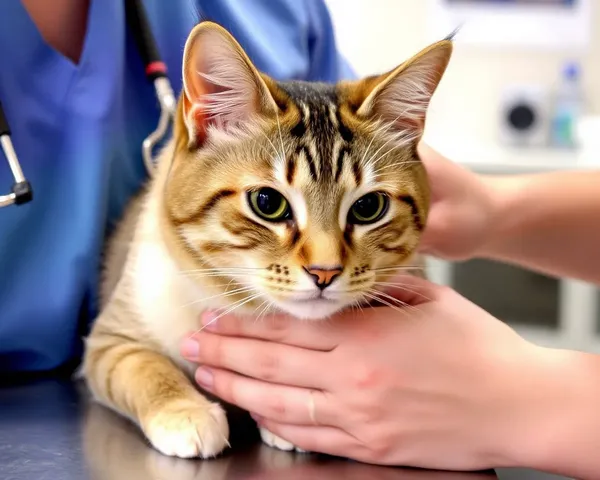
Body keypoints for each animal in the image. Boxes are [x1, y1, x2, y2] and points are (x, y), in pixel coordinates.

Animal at [82, 20, 452, 460]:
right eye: (268, 203)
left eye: (368, 207)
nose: (325, 272)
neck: (234, 301)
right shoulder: (110, 338)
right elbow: (143, 367)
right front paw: (184, 411)